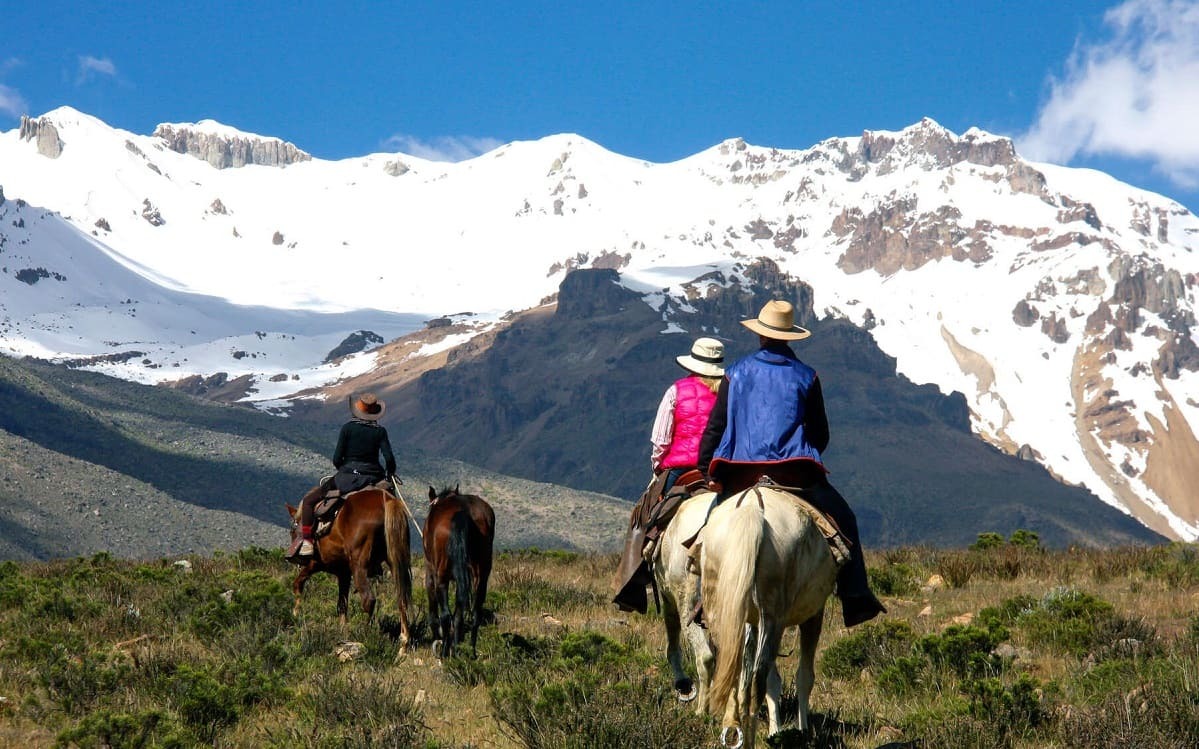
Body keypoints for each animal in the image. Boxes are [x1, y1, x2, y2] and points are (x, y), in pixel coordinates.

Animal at [284, 488, 412, 647]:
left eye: (292, 529)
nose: (291, 556)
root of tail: (387, 501)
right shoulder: (343, 573)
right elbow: (342, 604)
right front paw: (342, 629)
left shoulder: (314, 564)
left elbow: (298, 584)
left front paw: (295, 614)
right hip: (395, 561)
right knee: (402, 598)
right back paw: (404, 642)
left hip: (359, 565)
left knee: (369, 600)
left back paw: (366, 633)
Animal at [424, 484, 493, 651]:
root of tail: (463, 512)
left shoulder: (430, 572)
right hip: (481, 573)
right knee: (474, 613)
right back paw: (470, 651)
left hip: (441, 576)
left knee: (445, 615)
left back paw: (444, 651)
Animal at [700, 484, 834, 747]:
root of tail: (752, 509)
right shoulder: (814, 615)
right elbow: (804, 676)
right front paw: (803, 732)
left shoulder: (750, 622)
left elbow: (768, 679)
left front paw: (776, 730)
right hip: (773, 617)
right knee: (756, 681)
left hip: (726, 613)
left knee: (734, 673)